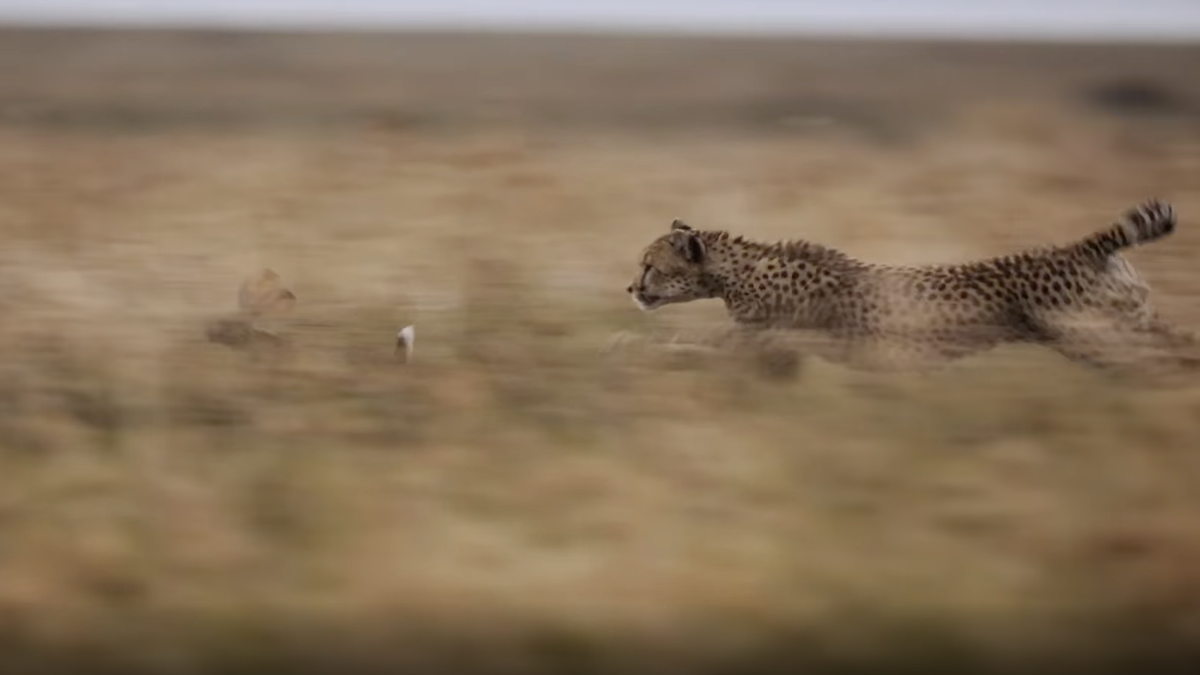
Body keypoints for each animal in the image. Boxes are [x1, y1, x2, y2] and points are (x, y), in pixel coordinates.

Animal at [623, 199, 1197, 377]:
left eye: (649, 265)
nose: (630, 288)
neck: (737, 272)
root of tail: (1078, 246)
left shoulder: (755, 341)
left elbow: (684, 344)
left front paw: (626, 348)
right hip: (1127, 321)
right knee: (1182, 346)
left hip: (1097, 335)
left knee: (1165, 360)